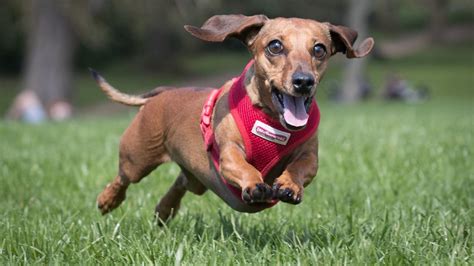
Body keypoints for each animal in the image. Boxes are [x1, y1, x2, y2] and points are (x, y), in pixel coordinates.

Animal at [92, 14, 374, 222]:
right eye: (275, 46)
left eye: (319, 49)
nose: (303, 82)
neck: (272, 121)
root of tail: (164, 92)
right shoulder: (229, 154)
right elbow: (244, 166)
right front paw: (255, 183)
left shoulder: (309, 156)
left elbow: (301, 167)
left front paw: (290, 184)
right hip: (137, 158)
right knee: (123, 178)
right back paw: (108, 200)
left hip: (197, 179)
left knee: (181, 182)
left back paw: (164, 209)